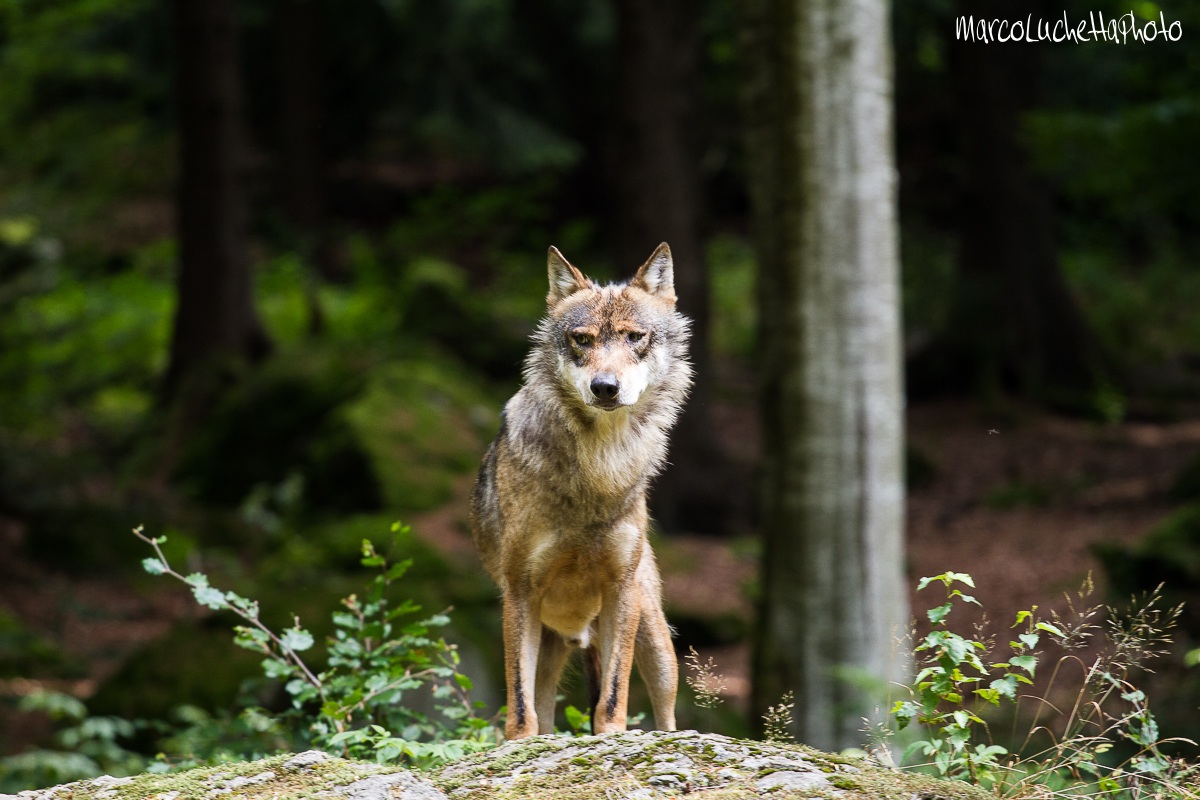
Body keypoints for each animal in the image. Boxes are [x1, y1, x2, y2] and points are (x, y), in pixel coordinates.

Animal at [470, 242, 692, 740]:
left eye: (634, 337)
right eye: (583, 340)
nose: (605, 386)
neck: (599, 468)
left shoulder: (620, 590)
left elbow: (613, 693)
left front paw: (612, 738)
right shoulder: (520, 592)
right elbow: (520, 706)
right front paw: (520, 745)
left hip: (655, 639)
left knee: (667, 713)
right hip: (550, 646)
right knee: (543, 707)